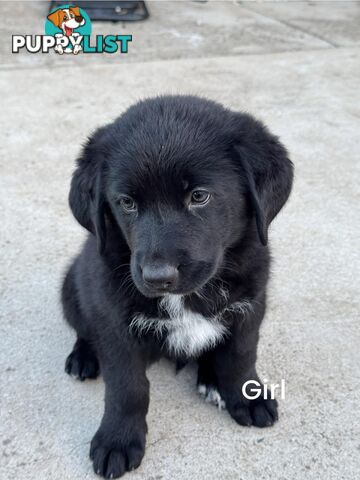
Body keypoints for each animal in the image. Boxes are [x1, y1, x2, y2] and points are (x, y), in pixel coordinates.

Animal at [61, 95, 292, 478]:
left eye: (199, 196)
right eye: (126, 202)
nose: (157, 277)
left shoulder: (251, 304)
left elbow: (241, 355)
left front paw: (247, 395)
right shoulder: (114, 323)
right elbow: (128, 388)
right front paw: (117, 440)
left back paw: (211, 379)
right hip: (70, 287)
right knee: (82, 328)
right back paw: (83, 357)